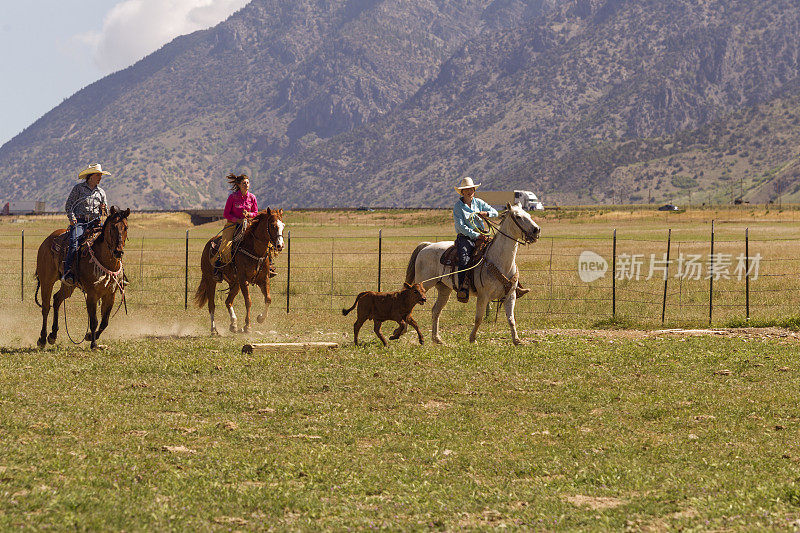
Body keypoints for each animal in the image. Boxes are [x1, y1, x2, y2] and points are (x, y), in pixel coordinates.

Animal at [34, 207, 130, 350]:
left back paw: (53, 335)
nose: (118, 252)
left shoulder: (110, 294)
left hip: (69, 285)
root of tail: (48, 239)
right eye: (112, 227)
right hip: (47, 280)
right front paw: (94, 344)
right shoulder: (92, 294)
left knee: (57, 299)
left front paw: (90, 336)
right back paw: (42, 339)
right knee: (46, 307)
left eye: (126, 227)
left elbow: (105, 322)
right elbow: (94, 321)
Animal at [404, 203, 540, 344]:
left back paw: (437, 339)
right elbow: (478, 318)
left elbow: (511, 319)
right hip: (423, 284)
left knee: (436, 310)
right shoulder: (483, 296)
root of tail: (427, 246)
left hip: (444, 288)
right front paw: (472, 338)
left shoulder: (510, 295)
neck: (501, 262)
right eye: (518, 217)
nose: (536, 230)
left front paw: (517, 340)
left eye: (528, 215)